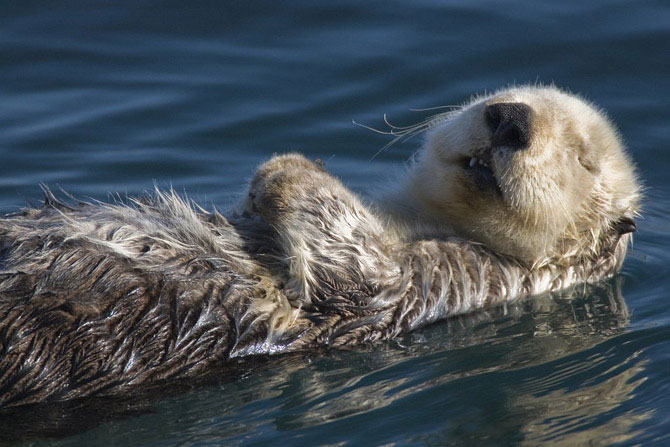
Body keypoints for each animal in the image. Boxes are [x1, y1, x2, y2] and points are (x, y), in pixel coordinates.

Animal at [0, 86, 640, 408]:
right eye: (505, 94)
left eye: (583, 158)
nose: (509, 118)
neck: (417, 219)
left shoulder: (453, 279)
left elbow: (357, 275)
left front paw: (286, 168)